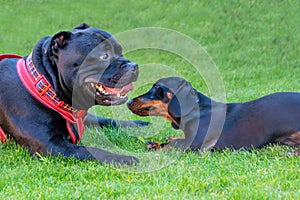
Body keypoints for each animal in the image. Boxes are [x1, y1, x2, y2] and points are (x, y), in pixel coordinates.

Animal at [0, 22, 147, 165]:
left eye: (121, 52)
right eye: (104, 56)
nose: (134, 66)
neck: (46, 87)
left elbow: (107, 120)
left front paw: (138, 126)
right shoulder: (49, 144)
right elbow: (92, 151)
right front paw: (123, 158)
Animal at [127, 76, 300, 155]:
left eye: (157, 88)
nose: (128, 101)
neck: (197, 111)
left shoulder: (194, 144)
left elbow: (173, 144)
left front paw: (156, 144)